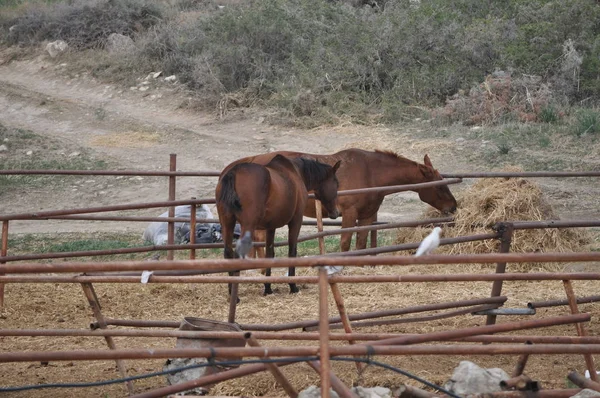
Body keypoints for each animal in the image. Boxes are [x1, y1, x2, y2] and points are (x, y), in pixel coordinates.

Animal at [216, 155, 340, 296]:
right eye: (336, 183)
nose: (336, 212)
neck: (296, 173)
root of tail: (234, 172)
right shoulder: (296, 221)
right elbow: (292, 251)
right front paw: (292, 286)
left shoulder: (271, 227)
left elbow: (270, 253)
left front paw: (268, 288)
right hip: (247, 225)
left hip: (227, 224)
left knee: (228, 253)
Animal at [223, 148, 458, 253]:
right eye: (439, 186)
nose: (453, 207)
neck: (371, 172)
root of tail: (251, 160)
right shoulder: (349, 214)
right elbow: (345, 242)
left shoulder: (367, 216)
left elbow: (361, 243)